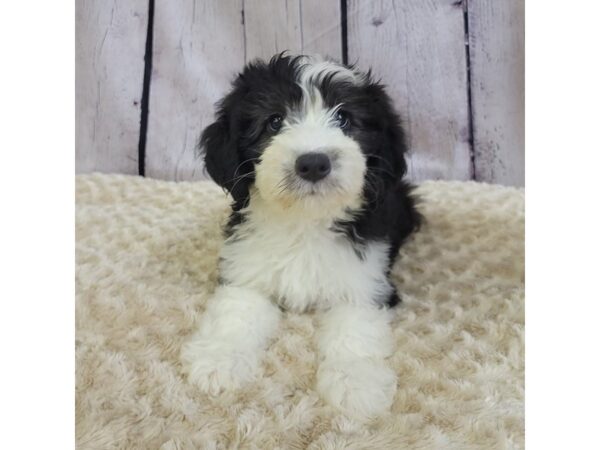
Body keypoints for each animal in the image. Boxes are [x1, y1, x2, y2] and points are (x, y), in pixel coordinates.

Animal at [180, 54, 420, 420]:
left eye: (344, 118)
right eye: (274, 121)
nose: (313, 163)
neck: (304, 222)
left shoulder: (365, 284)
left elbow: (354, 334)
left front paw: (355, 384)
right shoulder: (246, 274)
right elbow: (234, 317)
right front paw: (218, 362)